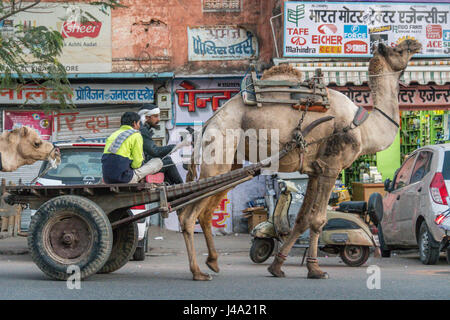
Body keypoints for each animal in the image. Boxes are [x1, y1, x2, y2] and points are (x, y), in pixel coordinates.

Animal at [178, 39, 422, 280]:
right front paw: (316, 269)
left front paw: (278, 266)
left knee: (205, 213)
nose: (415, 44)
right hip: (218, 153)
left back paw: (213, 262)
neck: (362, 128)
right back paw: (197, 271)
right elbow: (318, 220)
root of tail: (209, 123)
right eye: (398, 49)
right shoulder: (331, 166)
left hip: (231, 165)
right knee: (188, 216)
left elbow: (302, 219)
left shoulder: (315, 170)